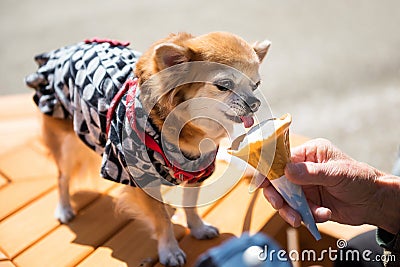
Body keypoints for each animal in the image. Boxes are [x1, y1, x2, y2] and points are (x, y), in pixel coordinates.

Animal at [26, 32, 270, 266]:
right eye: (224, 85)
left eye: (256, 85)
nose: (255, 102)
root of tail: (67, 49)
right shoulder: (141, 177)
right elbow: (161, 220)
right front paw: (169, 250)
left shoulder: (197, 172)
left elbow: (190, 205)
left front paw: (198, 228)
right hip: (68, 142)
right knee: (62, 177)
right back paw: (64, 209)